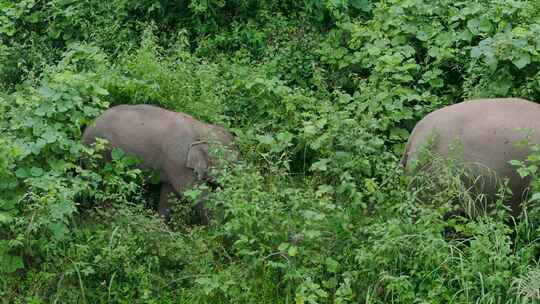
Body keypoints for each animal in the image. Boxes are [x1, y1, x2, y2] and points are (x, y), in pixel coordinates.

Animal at [81, 104, 236, 221]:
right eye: (229, 166)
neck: (201, 128)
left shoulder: (173, 164)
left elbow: (168, 194)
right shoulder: (178, 159)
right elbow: (194, 193)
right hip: (98, 153)